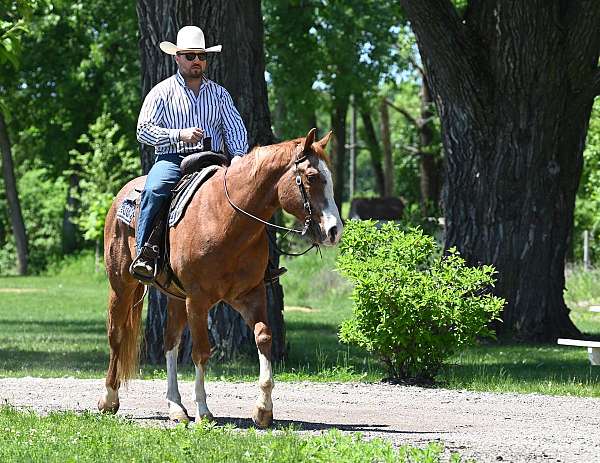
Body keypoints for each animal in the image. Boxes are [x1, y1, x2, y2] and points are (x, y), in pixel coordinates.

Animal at [98, 127, 342, 428]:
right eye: (311, 177)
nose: (334, 230)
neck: (227, 221)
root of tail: (121, 197)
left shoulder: (249, 294)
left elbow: (264, 337)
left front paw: (263, 409)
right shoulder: (198, 300)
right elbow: (201, 352)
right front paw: (204, 411)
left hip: (175, 297)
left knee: (170, 343)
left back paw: (176, 407)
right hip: (121, 285)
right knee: (116, 334)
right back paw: (109, 399)